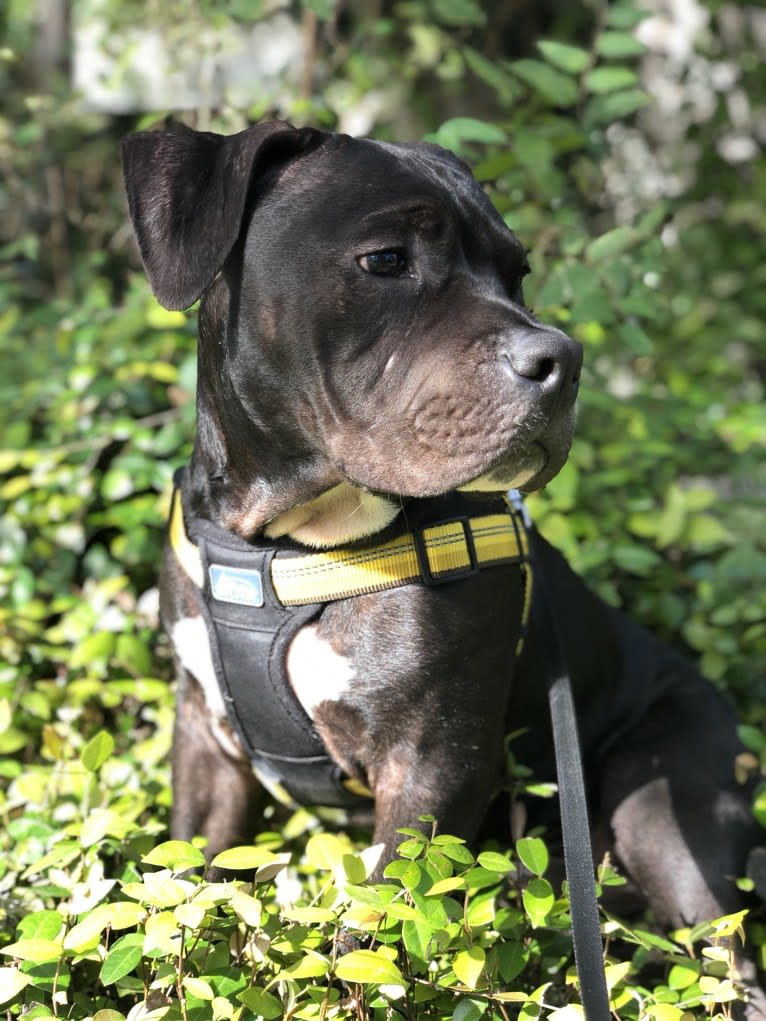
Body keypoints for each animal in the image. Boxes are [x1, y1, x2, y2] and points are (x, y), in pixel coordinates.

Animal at [121, 119, 766, 1012]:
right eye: (386, 260)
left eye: (517, 271)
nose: (562, 357)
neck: (288, 540)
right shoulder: (205, 742)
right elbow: (183, 886)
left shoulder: (429, 766)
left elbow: (371, 931)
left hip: (669, 806)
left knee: (726, 953)